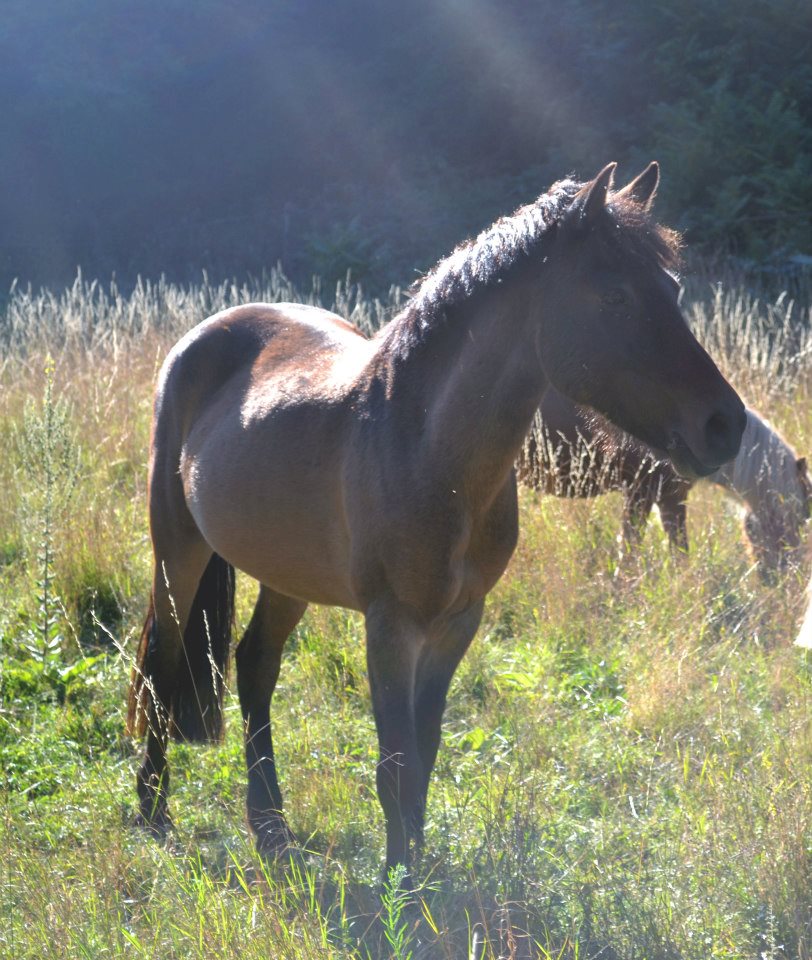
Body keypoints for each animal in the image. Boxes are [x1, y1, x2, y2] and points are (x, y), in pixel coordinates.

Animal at [125, 163, 744, 876]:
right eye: (614, 295)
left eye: (672, 288)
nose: (725, 425)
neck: (426, 448)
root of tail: (203, 336)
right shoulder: (391, 626)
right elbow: (394, 763)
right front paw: (400, 882)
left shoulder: (458, 623)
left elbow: (424, 754)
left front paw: (419, 870)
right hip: (177, 547)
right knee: (163, 661)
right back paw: (154, 808)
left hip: (286, 574)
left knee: (255, 666)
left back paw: (270, 823)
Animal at [516, 388, 808, 572]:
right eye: (794, 523)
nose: (786, 580)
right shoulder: (640, 493)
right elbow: (631, 549)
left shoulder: (670, 497)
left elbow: (678, 551)